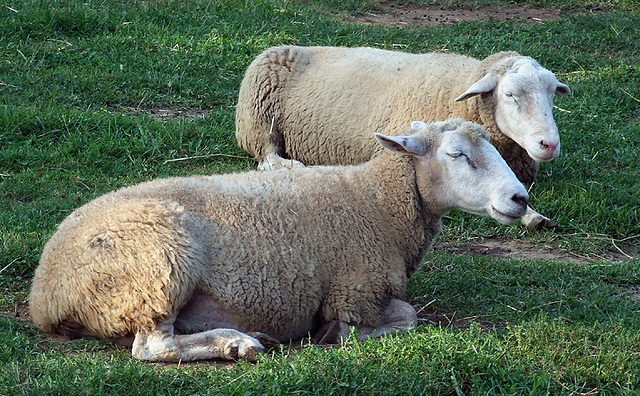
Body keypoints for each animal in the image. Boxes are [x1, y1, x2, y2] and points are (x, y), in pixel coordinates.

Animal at [235, 44, 568, 229]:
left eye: (553, 94)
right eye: (510, 94)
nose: (549, 144)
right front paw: (532, 215)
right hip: (260, 124)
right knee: (267, 159)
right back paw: (292, 166)